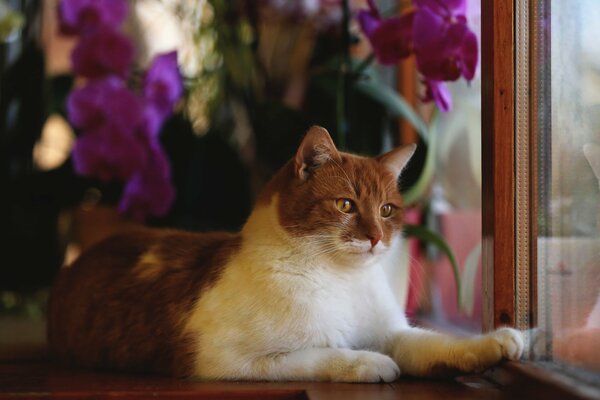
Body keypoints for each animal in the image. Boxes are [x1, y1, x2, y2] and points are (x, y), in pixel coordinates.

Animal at [47, 127, 524, 382]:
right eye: (346, 205)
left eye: (387, 210)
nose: (375, 238)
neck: (340, 279)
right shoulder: (224, 359)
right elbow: (323, 354)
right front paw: (370, 362)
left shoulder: (393, 332)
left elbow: (434, 343)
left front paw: (497, 342)